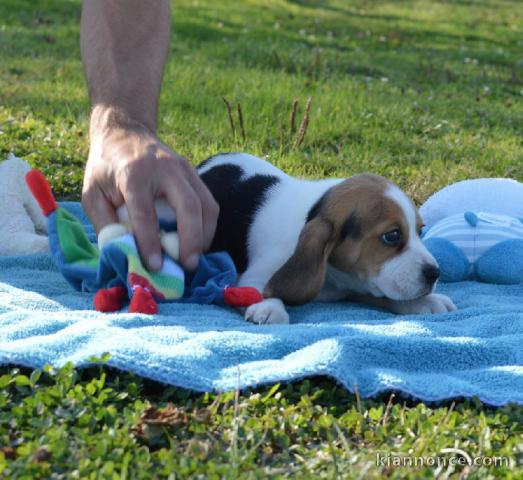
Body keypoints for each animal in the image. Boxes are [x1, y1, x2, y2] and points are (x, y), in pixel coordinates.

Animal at [116, 153, 456, 326]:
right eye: (392, 236)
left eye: (420, 230)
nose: (435, 273)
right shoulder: (252, 276)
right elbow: (261, 290)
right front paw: (270, 308)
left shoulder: (357, 284)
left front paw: (426, 301)